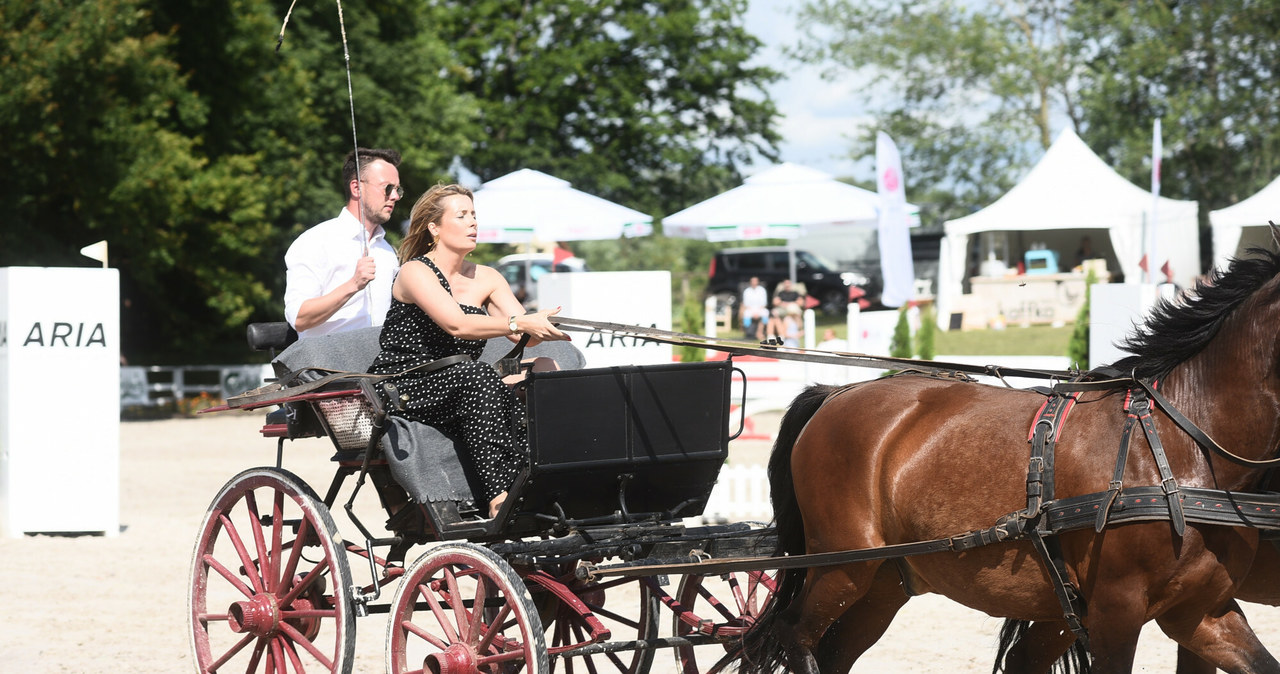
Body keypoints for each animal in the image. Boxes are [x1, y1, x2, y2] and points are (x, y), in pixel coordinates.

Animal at [737, 236, 1280, 674]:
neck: (1181, 445)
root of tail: (836, 391)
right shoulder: (1116, 611)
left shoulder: (1200, 612)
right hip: (842, 565)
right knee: (794, 634)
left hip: (882, 583)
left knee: (832, 651)